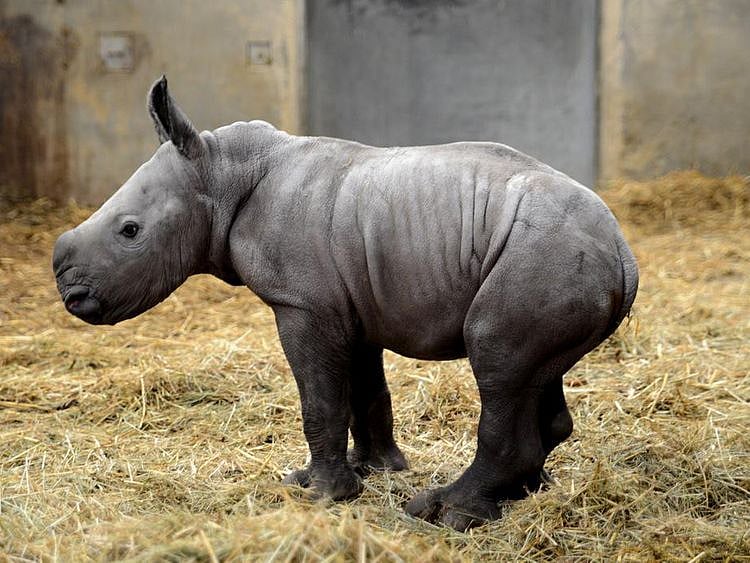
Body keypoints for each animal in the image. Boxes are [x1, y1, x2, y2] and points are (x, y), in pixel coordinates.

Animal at [53, 76, 638, 530]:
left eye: (130, 231)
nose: (70, 293)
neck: (220, 172)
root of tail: (622, 250)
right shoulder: (351, 301)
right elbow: (364, 390)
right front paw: (371, 470)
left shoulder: (303, 305)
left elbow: (319, 397)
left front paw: (321, 495)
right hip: (553, 261)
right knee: (536, 373)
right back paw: (523, 495)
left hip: (544, 256)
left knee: (497, 361)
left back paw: (445, 513)